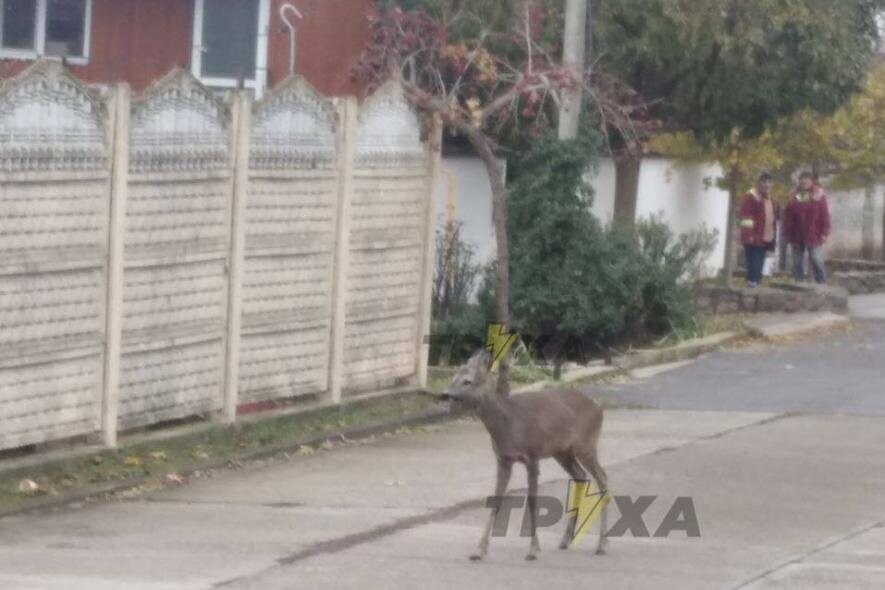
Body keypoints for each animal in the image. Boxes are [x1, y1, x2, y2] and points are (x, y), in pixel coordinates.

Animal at [442, 352, 608, 564]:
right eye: (453, 377)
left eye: (467, 381)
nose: (446, 394)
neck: (509, 424)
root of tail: (599, 408)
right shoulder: (503, 459)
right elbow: (495, 501)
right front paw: (479, 550)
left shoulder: (532, 455)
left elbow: (532, 502)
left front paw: (533, 550)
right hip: (562, 451)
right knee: (580, 475)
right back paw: (565, 540)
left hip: (586, 444)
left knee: (602, 478)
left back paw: (601, 545)